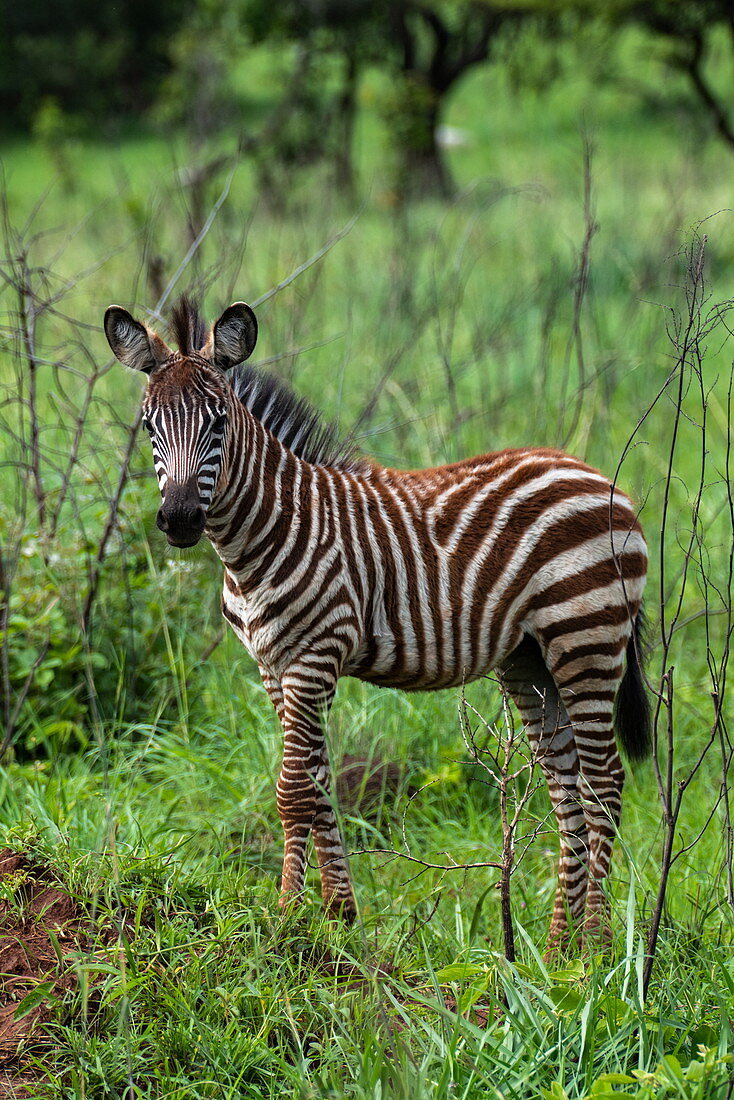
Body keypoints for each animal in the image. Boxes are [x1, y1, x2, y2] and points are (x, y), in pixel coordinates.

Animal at [103, 297, 647, 950]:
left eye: (219, 425)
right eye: (148, 427)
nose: (180, 520)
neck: (263, 536)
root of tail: (596, 475)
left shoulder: (315, 655)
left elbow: (292, 791)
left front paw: (287, 918)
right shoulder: (274, 667)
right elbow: (316, 783)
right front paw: (338, 916)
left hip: (586, 636)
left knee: (604, 784)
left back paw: (596, 947)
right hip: (530, 659)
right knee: (567, 790)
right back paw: (560, 947)